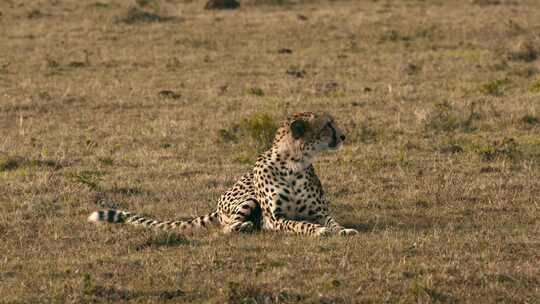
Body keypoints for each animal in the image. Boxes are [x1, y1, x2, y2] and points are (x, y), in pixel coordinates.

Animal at [88, 113, 358, 236]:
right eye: (327, 125)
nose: (344, 136)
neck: (294, 164)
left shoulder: (320, 212)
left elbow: (332, 221)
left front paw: (343, 230)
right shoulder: (275, 218)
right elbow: (300, 224)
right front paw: (318, 231)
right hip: (248, 199)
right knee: (227, 226)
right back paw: (245, 226)